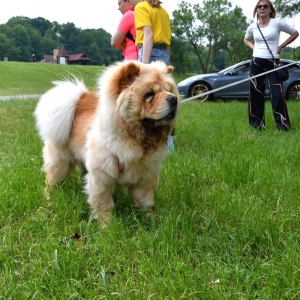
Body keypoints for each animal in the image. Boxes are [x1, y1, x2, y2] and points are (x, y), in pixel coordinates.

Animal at [35, 60, 180, 225]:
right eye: (149, 94)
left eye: (170, 91)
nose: (173, 99)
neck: (136, 140)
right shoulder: (102, 176)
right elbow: (103, 204)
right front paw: (107, 225)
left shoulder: (145, 177)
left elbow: (146, 202)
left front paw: (151, 221)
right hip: (60, 163)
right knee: (50, 182)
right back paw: (49, 199)